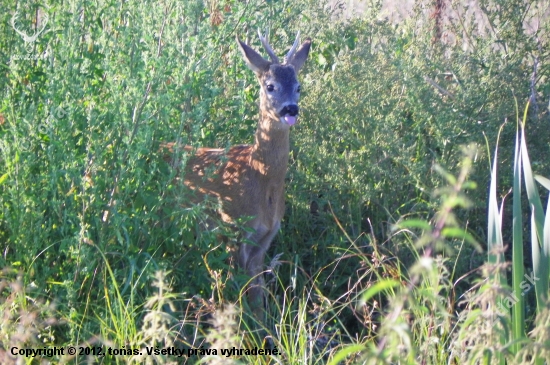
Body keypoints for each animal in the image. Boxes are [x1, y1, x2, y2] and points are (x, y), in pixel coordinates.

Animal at [163, 31, 310, 314]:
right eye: (270, 86)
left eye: (298, 87)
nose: (291, 109)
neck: (258, 177)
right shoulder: (231, 229)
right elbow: (238, 289)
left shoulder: (266, 238)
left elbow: (257, 296)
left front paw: (263, 324)